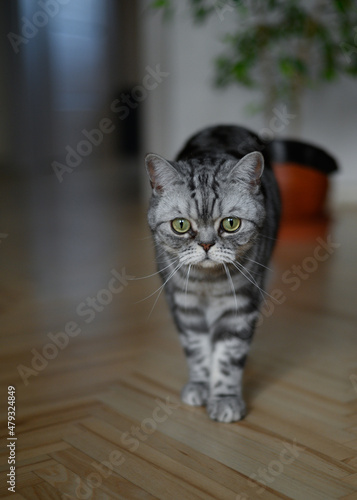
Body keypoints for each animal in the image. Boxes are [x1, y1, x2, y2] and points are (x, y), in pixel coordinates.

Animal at [145, 124, 280, 422]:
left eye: (230, 224)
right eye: (181, 225)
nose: (206, 245)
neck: (207, 282)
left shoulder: (240, 304)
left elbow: (228, 356)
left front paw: (225, 399)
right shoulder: (184, 305)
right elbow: (196, 349)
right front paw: (200, 385)